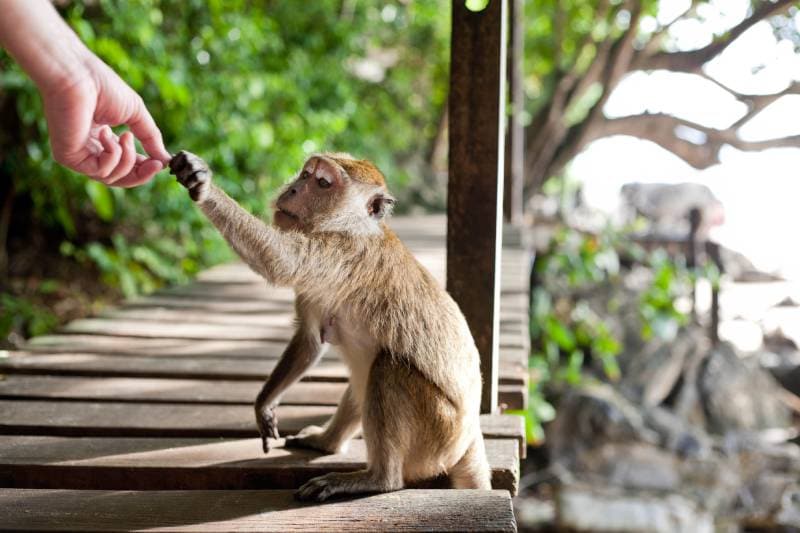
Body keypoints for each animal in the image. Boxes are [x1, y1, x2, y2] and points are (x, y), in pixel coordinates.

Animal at [170, 149, 488, 498]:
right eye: (306, 175)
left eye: (323, 183)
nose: (293, 189)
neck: (350, 225)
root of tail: (470, 436)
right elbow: (309, 341)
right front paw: (265, 403)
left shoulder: (343, 253)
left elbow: (278, 261)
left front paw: (203, 185)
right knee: (363, 377)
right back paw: (326, 443)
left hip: (439, 431)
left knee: (386, 368)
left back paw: (378, 479)